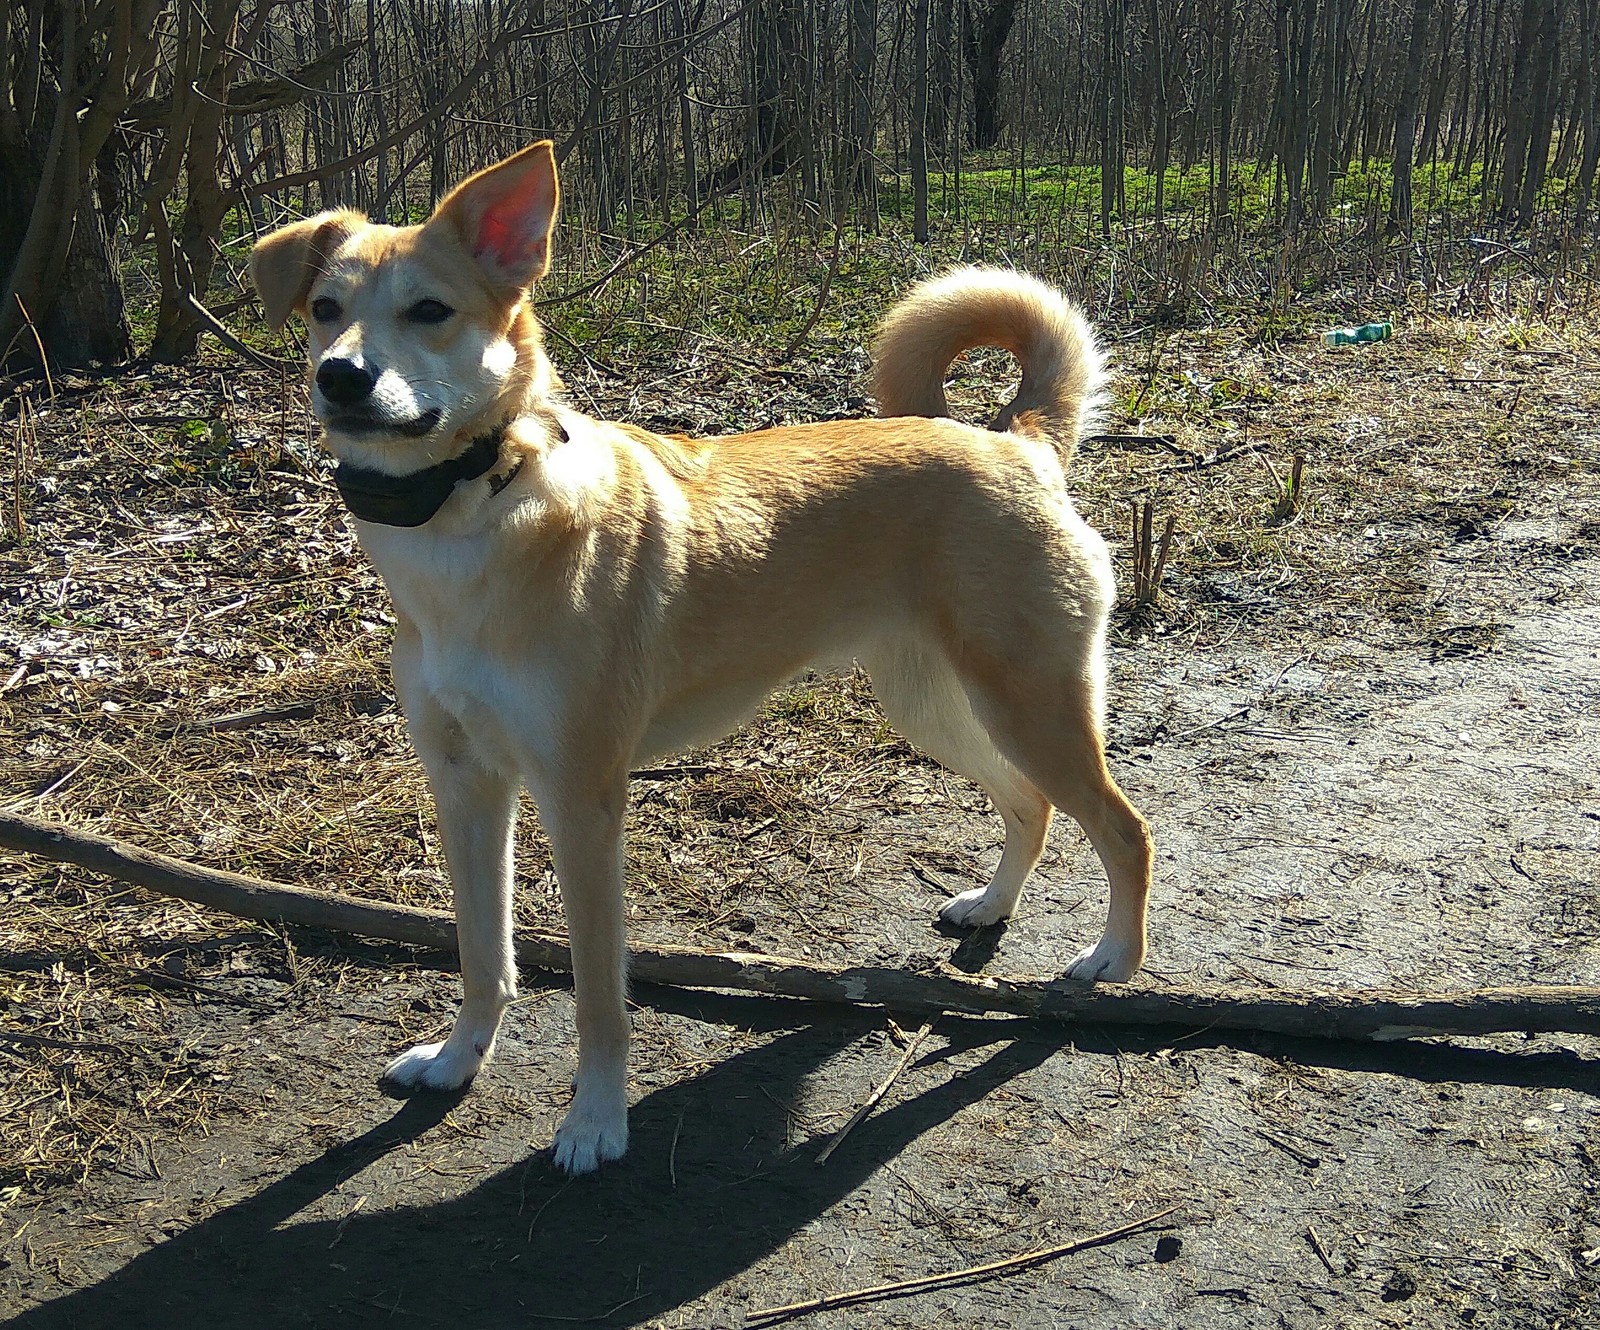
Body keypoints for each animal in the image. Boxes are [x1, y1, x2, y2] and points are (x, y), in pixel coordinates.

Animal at [249, 140, 1152, 1171]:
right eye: (325, 309)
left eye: (429, 311)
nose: (341, 377)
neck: (475, 511)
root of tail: (1017, 443)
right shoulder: (466, 785)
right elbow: (484, 955)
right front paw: (456, 1060)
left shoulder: (581, 802)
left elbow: (600, 997)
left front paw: (596, 1122)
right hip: (937, 706)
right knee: (1029, 803)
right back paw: (992, 907)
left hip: (1031, 705)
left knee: (1124, 829)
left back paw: (1115, 959)